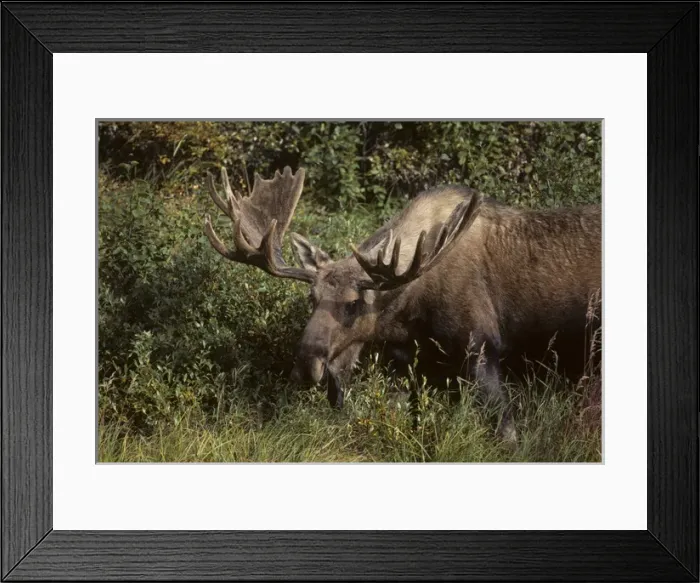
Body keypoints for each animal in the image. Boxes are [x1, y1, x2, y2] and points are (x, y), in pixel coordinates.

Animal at [204, 166, 602, 442]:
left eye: (354, 303)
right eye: (311, 297)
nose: (305, 364)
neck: (408, 312)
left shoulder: (481, 346)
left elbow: (507, 432)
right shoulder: (410, 363)